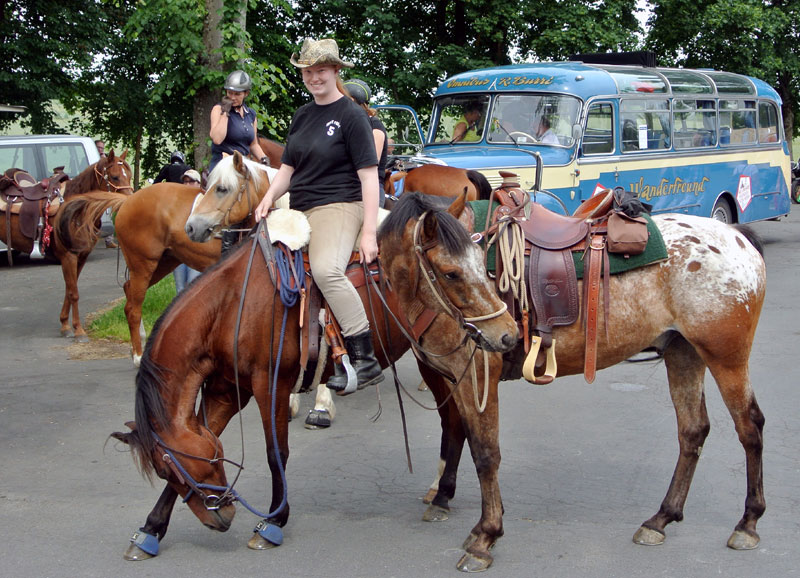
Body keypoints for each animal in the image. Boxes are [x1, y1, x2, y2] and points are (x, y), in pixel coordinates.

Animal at [4, 148, 134, 340]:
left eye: (129, 175)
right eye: (115, 177)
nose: (130, 203)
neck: (77, 211)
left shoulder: (81, 256)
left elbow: (69, 289)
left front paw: (65, 325)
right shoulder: (69, 256)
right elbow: (74, 293)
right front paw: (78, 330)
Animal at [56, 155, 276, 362]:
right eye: (221, 188)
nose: (192, 228)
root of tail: (127, 201)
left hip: (164, 262)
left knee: (128, 292)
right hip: (143, 265)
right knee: (133, 308)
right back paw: (138, 355)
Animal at [109, 191, 516, 568]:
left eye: (456, 272)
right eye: (164, 469)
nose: (220, 515)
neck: (231, 307)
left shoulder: (269, 386)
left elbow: (277, 453)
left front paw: (273, 522)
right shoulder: (225, 391)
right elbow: (211, 434)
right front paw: (150, 529)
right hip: (432, 361)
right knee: (454, 422)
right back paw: (442, 496)